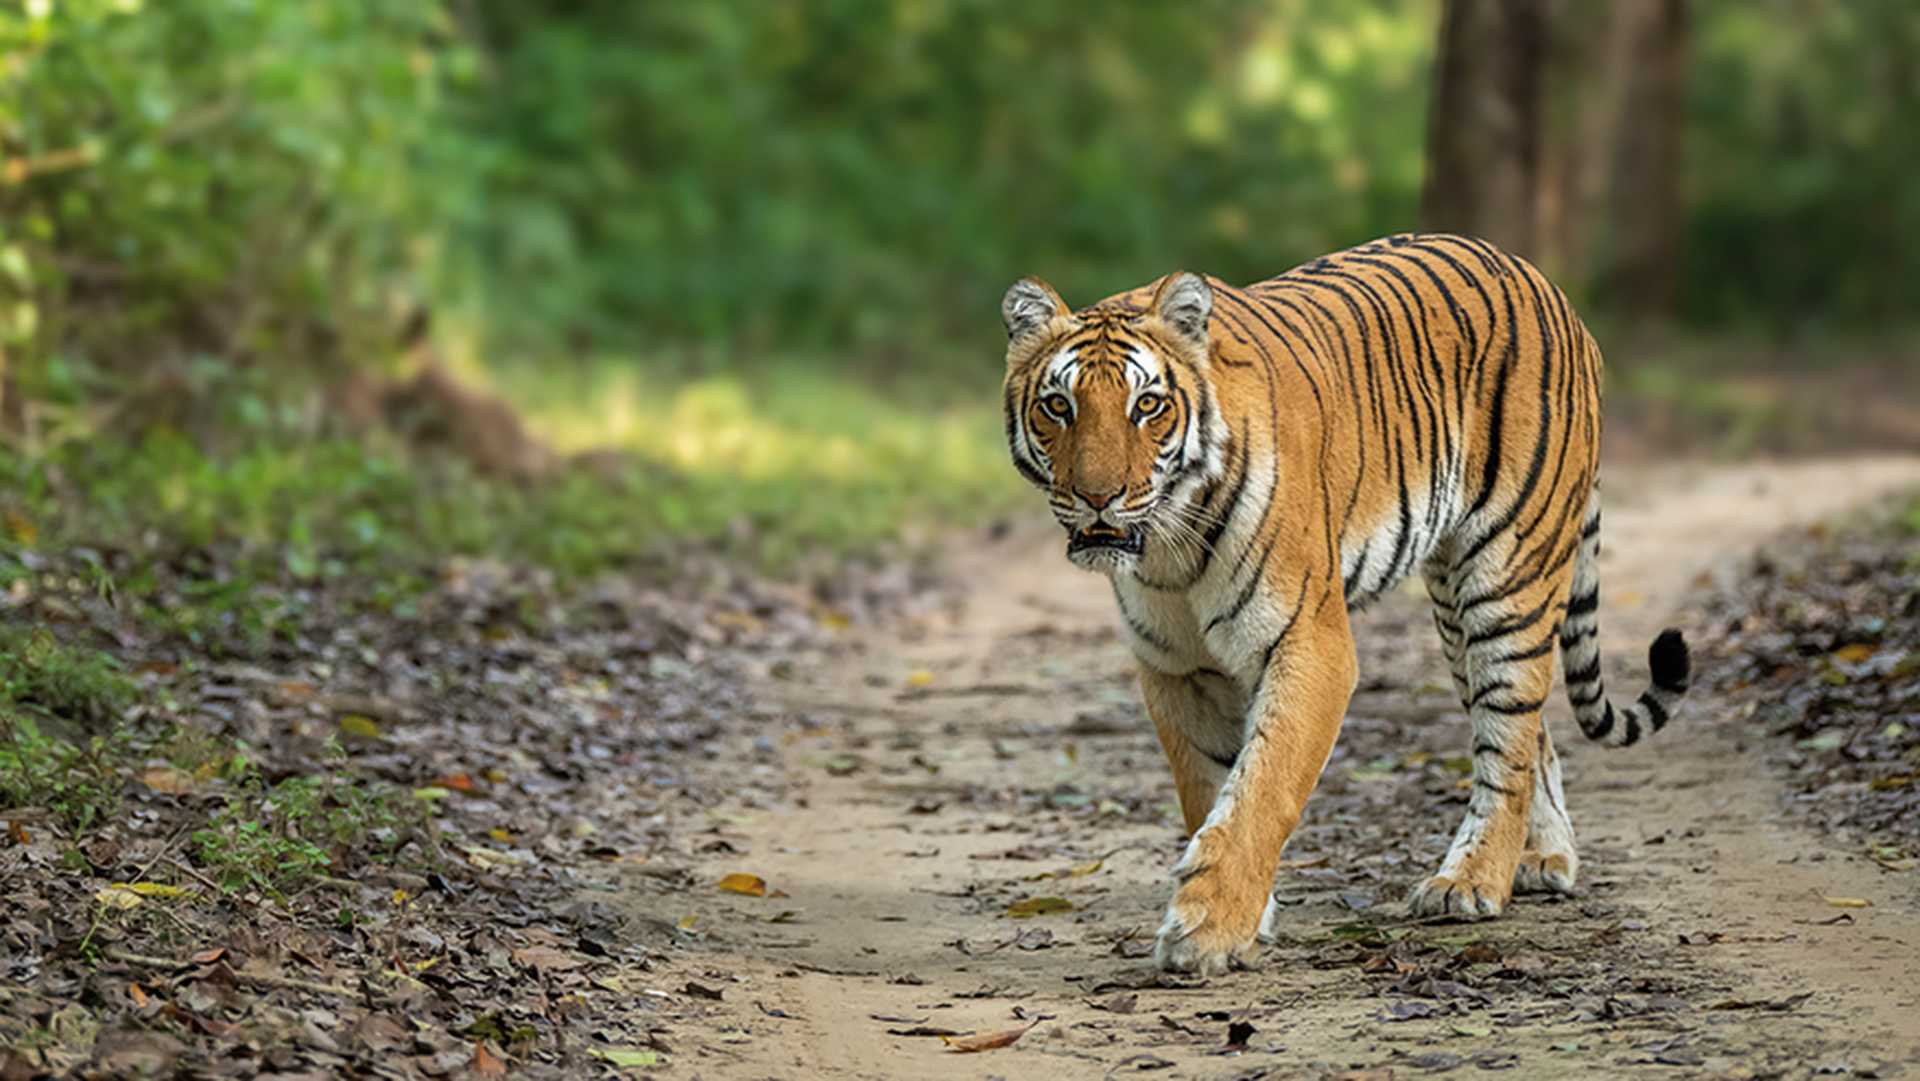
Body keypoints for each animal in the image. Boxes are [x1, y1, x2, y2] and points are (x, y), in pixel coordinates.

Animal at [998, 232, 1691, 975]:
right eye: (1059, 406)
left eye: (1148, 405)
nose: (1098, 497)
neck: (1171, 545)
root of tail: (1549, 288)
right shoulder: (1178, 668)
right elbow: (1210, 787)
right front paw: (1246, 916)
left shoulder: (1309, 642)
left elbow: (1262, 787)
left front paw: (1207, 928)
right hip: (1453, 609)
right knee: (1533, 731)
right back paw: (1542, 856)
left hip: (1508, 575)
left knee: (1507, 738)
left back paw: (1472, 880)